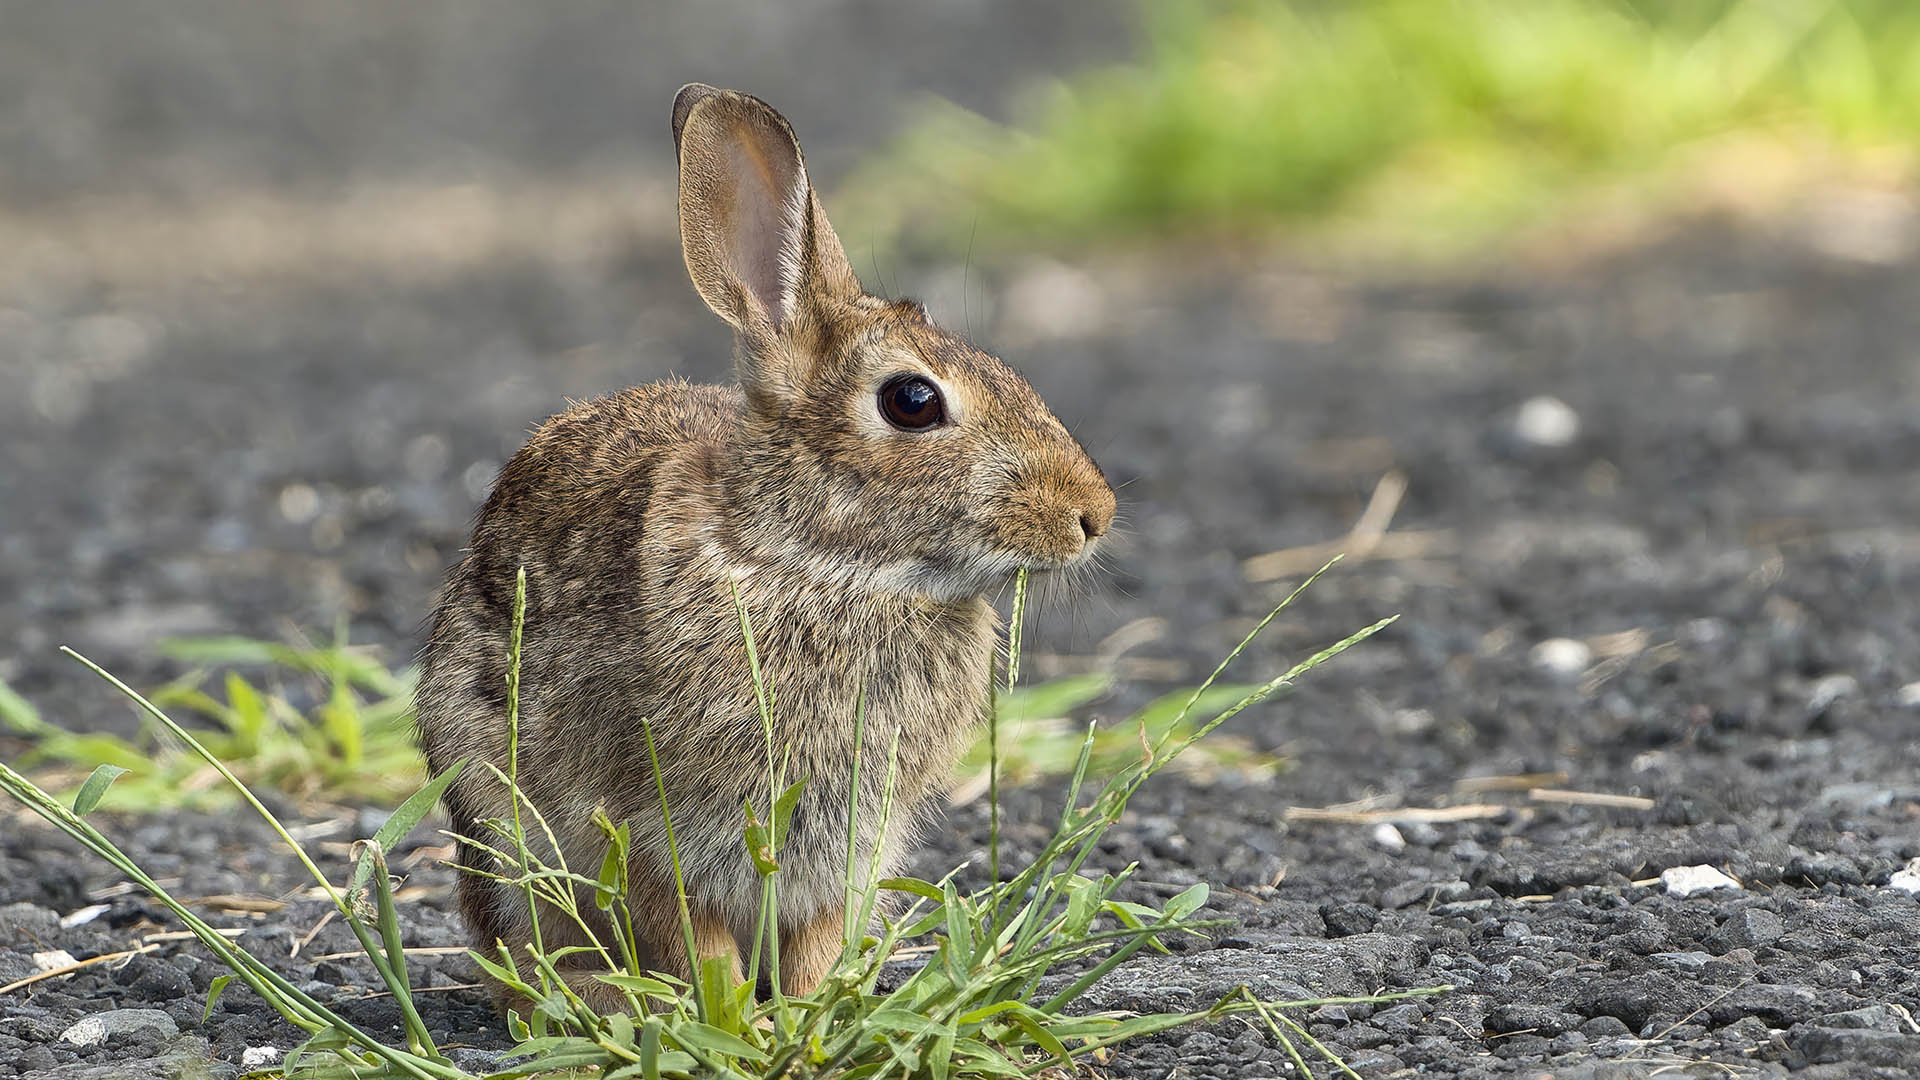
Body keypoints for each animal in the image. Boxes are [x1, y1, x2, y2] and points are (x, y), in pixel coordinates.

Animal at [412, 84, 1121, 1006]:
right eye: (913, 401)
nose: (1093, 514)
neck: (821, 565)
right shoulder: (650, 824)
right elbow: (692, 935)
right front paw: (731, 1017)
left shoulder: (851, 845)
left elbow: (815, 939)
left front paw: (807, 1007)